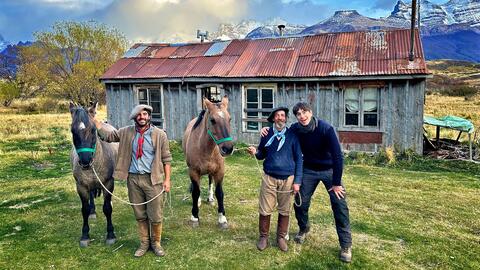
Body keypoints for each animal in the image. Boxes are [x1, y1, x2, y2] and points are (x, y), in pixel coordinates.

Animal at [69, 102, 118, 247]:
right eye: (72, 131)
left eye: (93, 130)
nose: (85, 161)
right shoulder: (81, 186)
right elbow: (84, 209)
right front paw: (85, 235)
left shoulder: (108, 183)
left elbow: (107, 208)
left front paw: (110, 234)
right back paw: (92, 211)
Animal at [182, 96, 234, 229]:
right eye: (212, 120)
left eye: (229, 119)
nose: (228, 149)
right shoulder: (193, 171)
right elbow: (196, 192)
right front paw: (194, 217)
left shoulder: (219, 171)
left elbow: (219, 193)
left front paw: (222, 219)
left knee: (210, 181)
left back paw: (210, 198)